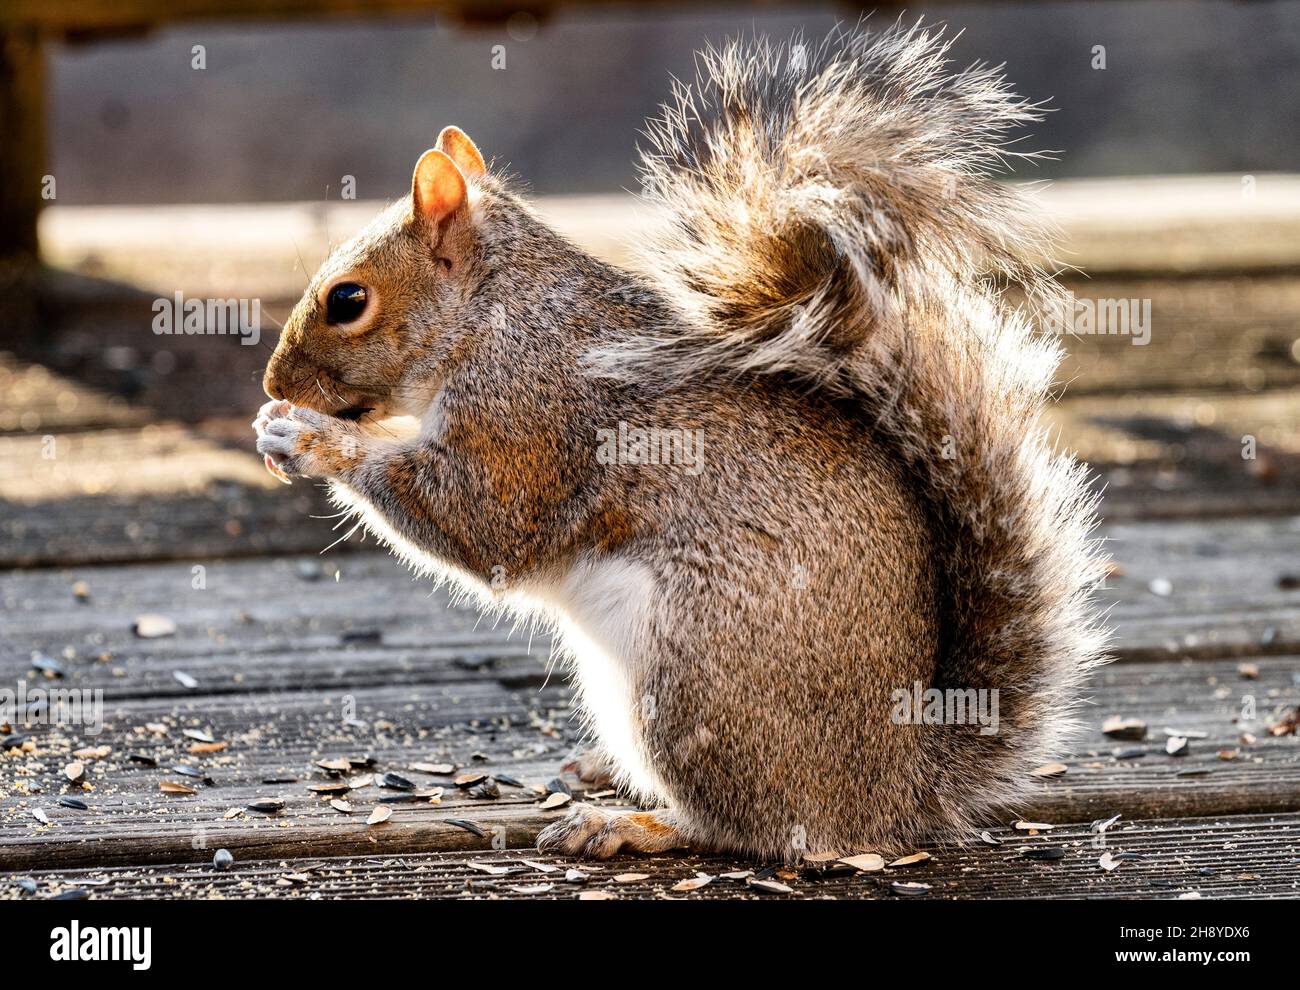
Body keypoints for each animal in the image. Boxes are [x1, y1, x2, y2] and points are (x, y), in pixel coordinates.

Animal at [254, 22, 1109, 860]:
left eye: (348, 300)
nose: (274, 381)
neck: (493, 314)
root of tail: (893, 789)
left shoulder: (530, 420)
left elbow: (481, 520)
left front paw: (311, 438)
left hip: (692, 684)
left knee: (758, 830)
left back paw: (632, 822)